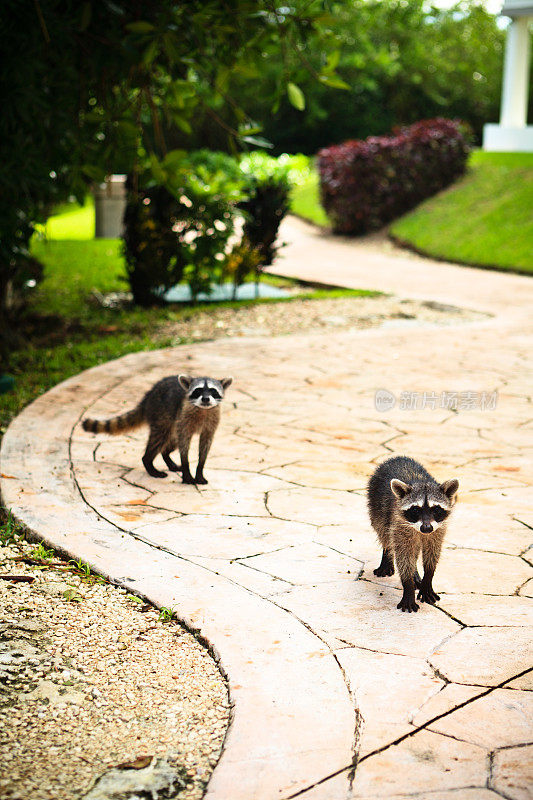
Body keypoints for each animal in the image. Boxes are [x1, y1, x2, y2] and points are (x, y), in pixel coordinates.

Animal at [366, 456, 458, 612]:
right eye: (415, 510)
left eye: (436, 509)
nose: (426, 528)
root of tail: (395, 457)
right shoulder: (400, 525)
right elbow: (404, 557)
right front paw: (408, 586)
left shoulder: (438, 530)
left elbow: (432, 552)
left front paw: (428, 578)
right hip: (375, 505)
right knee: (384, 532)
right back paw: (387, 554)